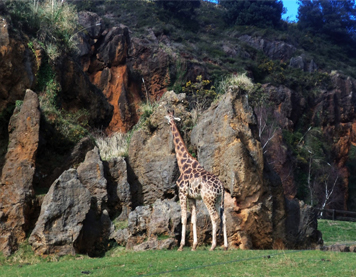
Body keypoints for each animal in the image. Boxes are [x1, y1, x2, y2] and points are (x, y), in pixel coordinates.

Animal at [165, 109, 228, 250]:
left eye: (168, 117)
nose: (168, 122)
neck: (183, 165)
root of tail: (221, 186)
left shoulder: (182, 193)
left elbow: (183, 218)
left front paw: (181, 246)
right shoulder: (192, 197)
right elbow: (193, 219)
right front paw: (194, 246)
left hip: (207, 198)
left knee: (214, 217)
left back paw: (213, 246)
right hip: (218, 200)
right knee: (223, 216)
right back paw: (226, 246)